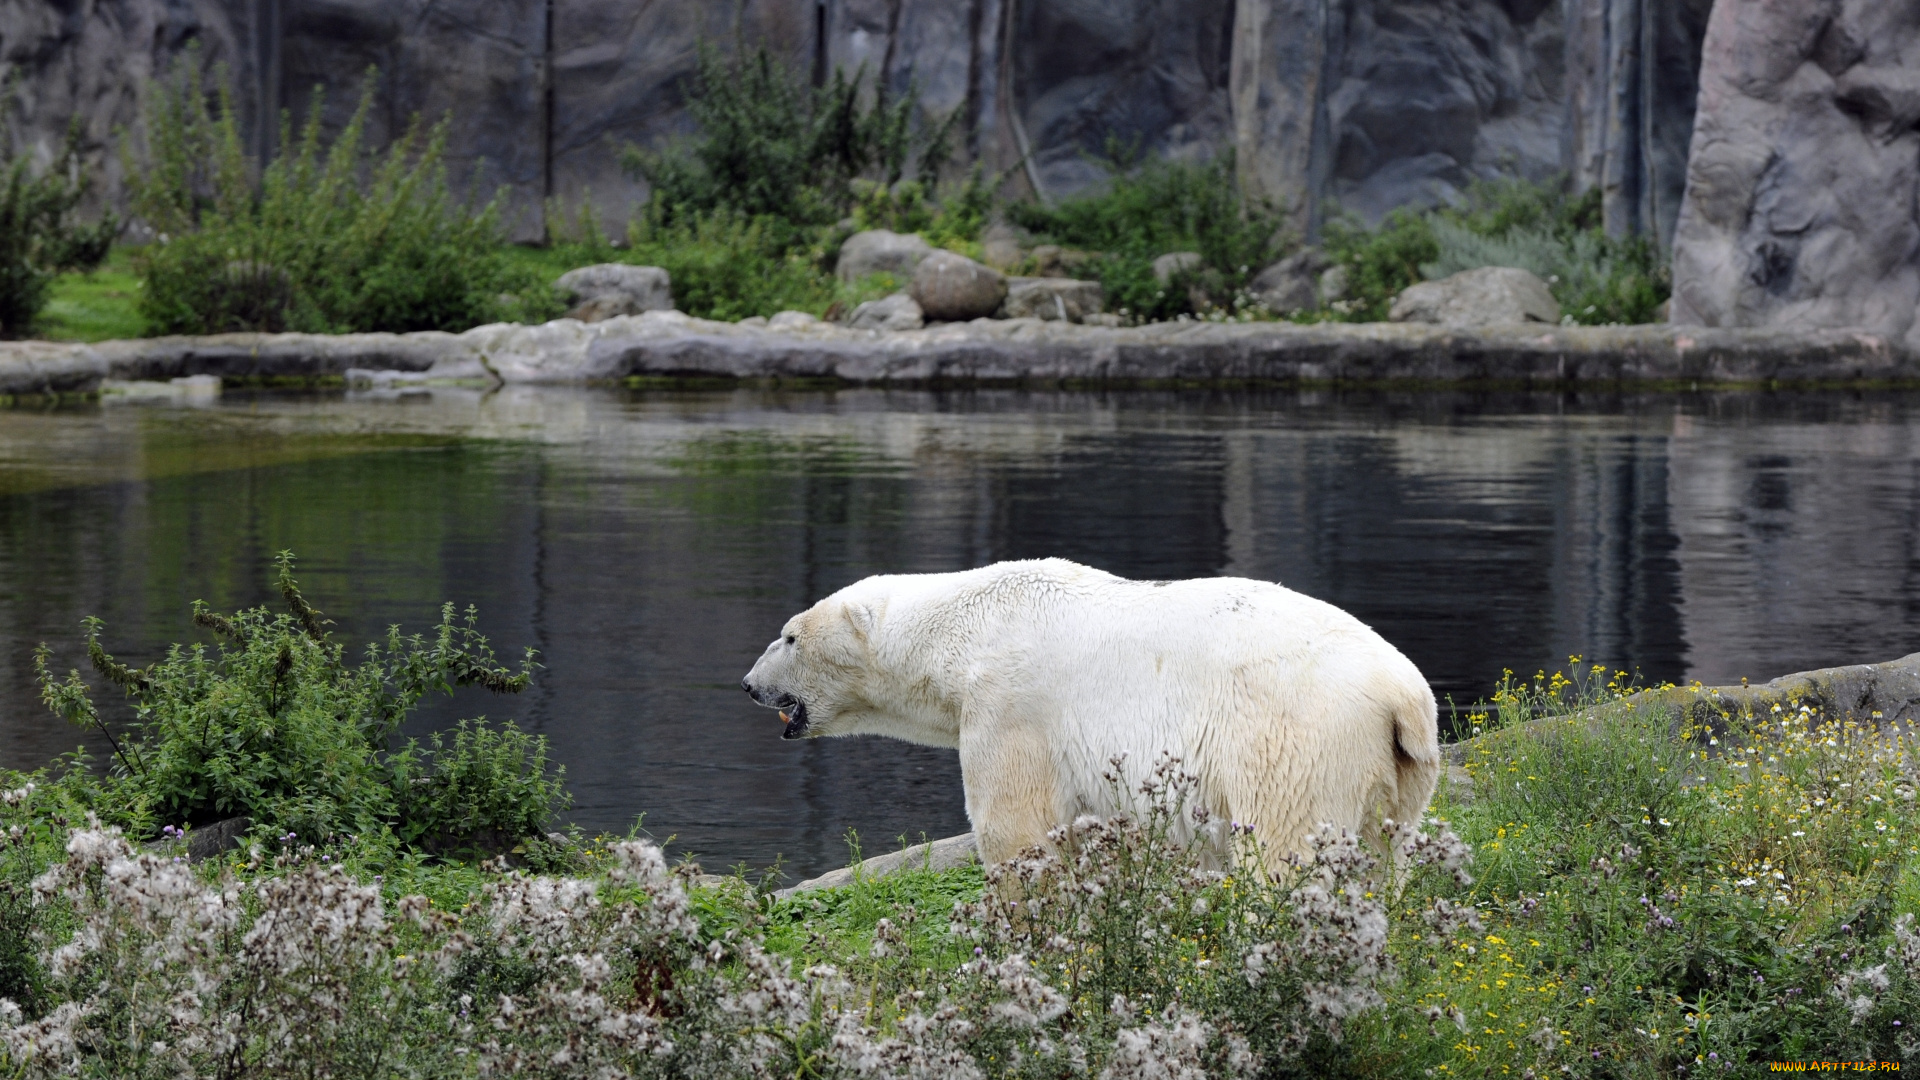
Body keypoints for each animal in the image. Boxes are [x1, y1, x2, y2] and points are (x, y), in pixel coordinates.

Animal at [741, 557, 1436, 860]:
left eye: (789, 636)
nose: (749, 684)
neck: (965, 630)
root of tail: (1401, 694)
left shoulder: (1009, 702)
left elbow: (1013, 826)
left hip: (1293, 736)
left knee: (1284, 842)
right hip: (1399, 768)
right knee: (1384, 855)